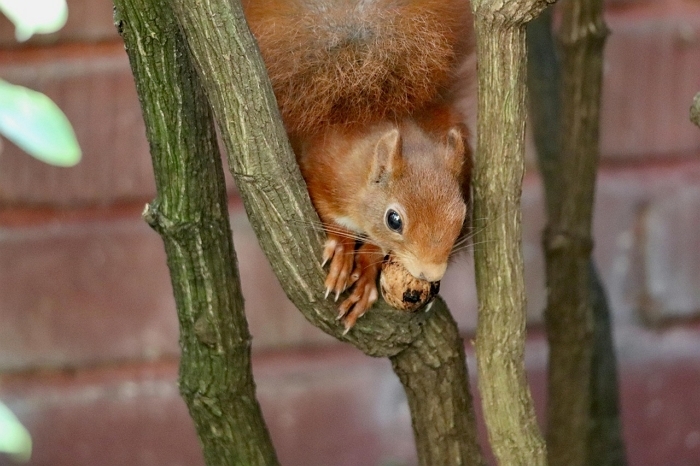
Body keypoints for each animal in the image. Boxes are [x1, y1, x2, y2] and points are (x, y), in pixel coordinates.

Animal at [242, 0, 474, 331]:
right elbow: (328, 213)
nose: (428, 274)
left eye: (461, 214)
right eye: (394, 220)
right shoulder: (323, 172)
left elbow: (376, 249)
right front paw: (341, 247)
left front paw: (366, 271)